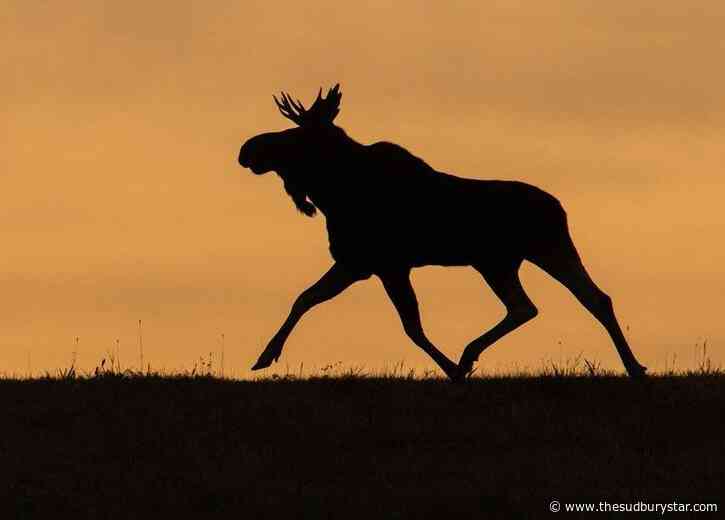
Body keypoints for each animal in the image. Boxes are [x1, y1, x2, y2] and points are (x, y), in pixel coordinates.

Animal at [237, 84, 647, 381]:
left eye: (298, 135)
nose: (247, 149)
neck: (333, 194)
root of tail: (560, 208)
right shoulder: (360, 264)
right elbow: (305, 299)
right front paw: (264, 356)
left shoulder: (382, 264)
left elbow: (411, 326)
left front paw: (451, 368)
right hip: (515, 259)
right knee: (567, 301)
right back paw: (633, 365)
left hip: (526, 254)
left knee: (561, 302)